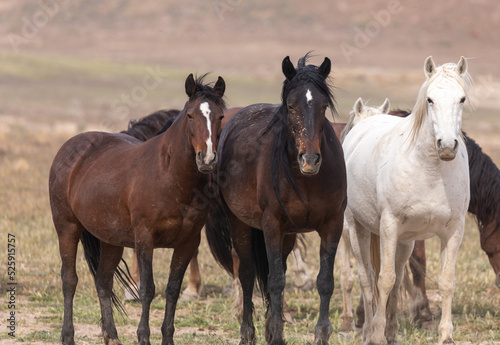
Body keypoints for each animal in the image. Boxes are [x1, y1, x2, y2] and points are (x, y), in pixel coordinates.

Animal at [48, 73, 225, 344]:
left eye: (220, 117)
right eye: (190, 115)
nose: (207, 159)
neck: (169, 175)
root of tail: (71, 147)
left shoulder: (188, 243)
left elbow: (172, 289)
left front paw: (167, 337)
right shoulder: (145, 239)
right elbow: (147, 289)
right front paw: (143, 336)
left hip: (110, 240)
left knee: (103, 281)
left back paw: (111, 336)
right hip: (67, 228)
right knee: (69, 280)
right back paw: (68, 336)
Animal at [205, 52, 346, 342]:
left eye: (323, 107)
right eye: (290, 106)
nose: (310, 160)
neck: (307, 180)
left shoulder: (332, 225)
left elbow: (325, 281)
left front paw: (320, 335)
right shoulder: (271, 225)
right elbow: (276, 281)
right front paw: (278, 336)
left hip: (288, 236)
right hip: (241, 225)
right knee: (247, 274)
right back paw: (248, 333)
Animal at [342, 56, 470, 344]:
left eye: (462, 99)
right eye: (430, 99)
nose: (447, 146)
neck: (431, 170)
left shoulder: (454, 231)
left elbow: (446, 282)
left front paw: (445, 335)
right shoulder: (388, 226)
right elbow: (384, 280)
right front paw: (377, 335)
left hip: (405, 241)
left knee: (399, 278)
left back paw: (391, 332)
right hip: (358, 229)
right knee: (367, 277)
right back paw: (368, 330)